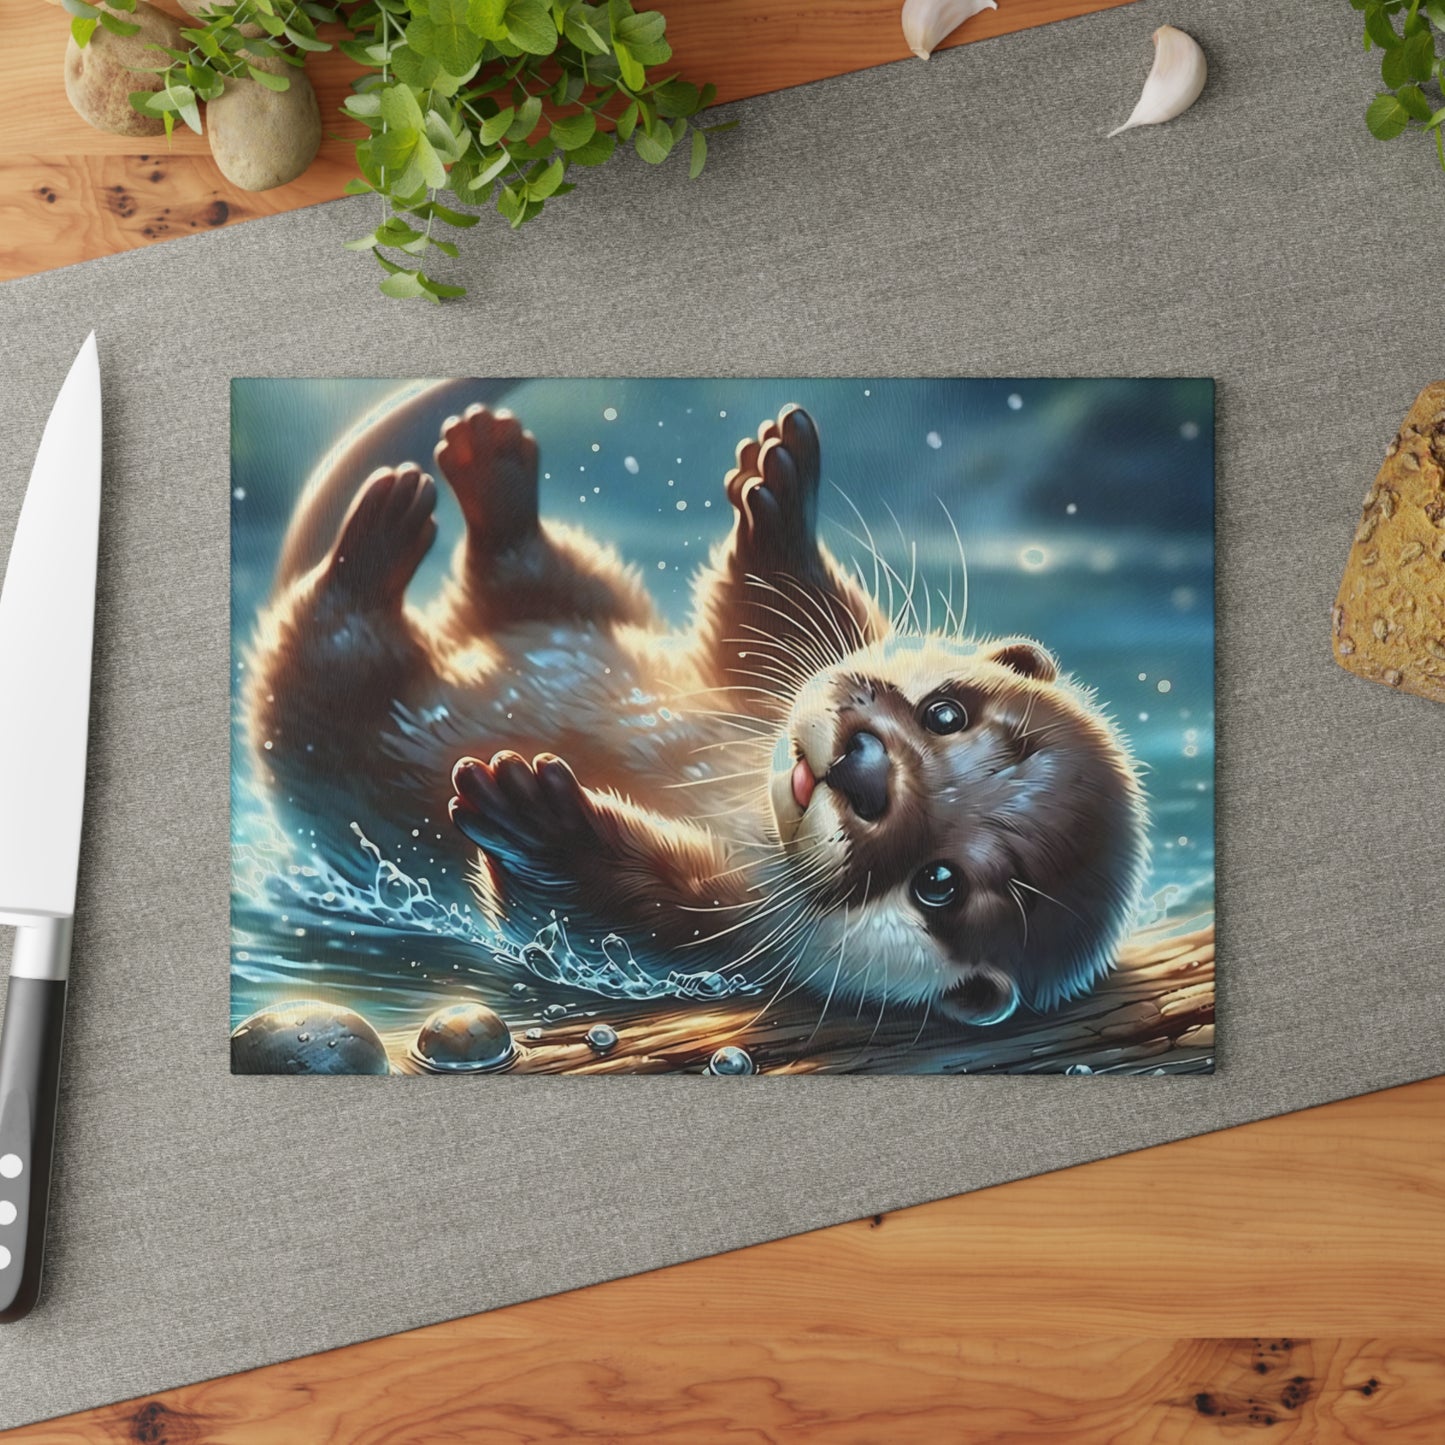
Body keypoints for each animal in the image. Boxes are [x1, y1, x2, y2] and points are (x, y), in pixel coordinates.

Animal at [247, 400, 1147, 1029]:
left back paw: (377, 541)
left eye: (940, 884)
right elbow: (766, 630)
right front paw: (780, 497)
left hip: (323, 723)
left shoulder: (721, 945)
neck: (738, 804)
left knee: (327, 644)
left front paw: (538, 822)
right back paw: (484, 469)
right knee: (531, 573)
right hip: (575, 604)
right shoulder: (748, 692)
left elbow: (585, 913)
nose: (862, 767)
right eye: (948, 713)